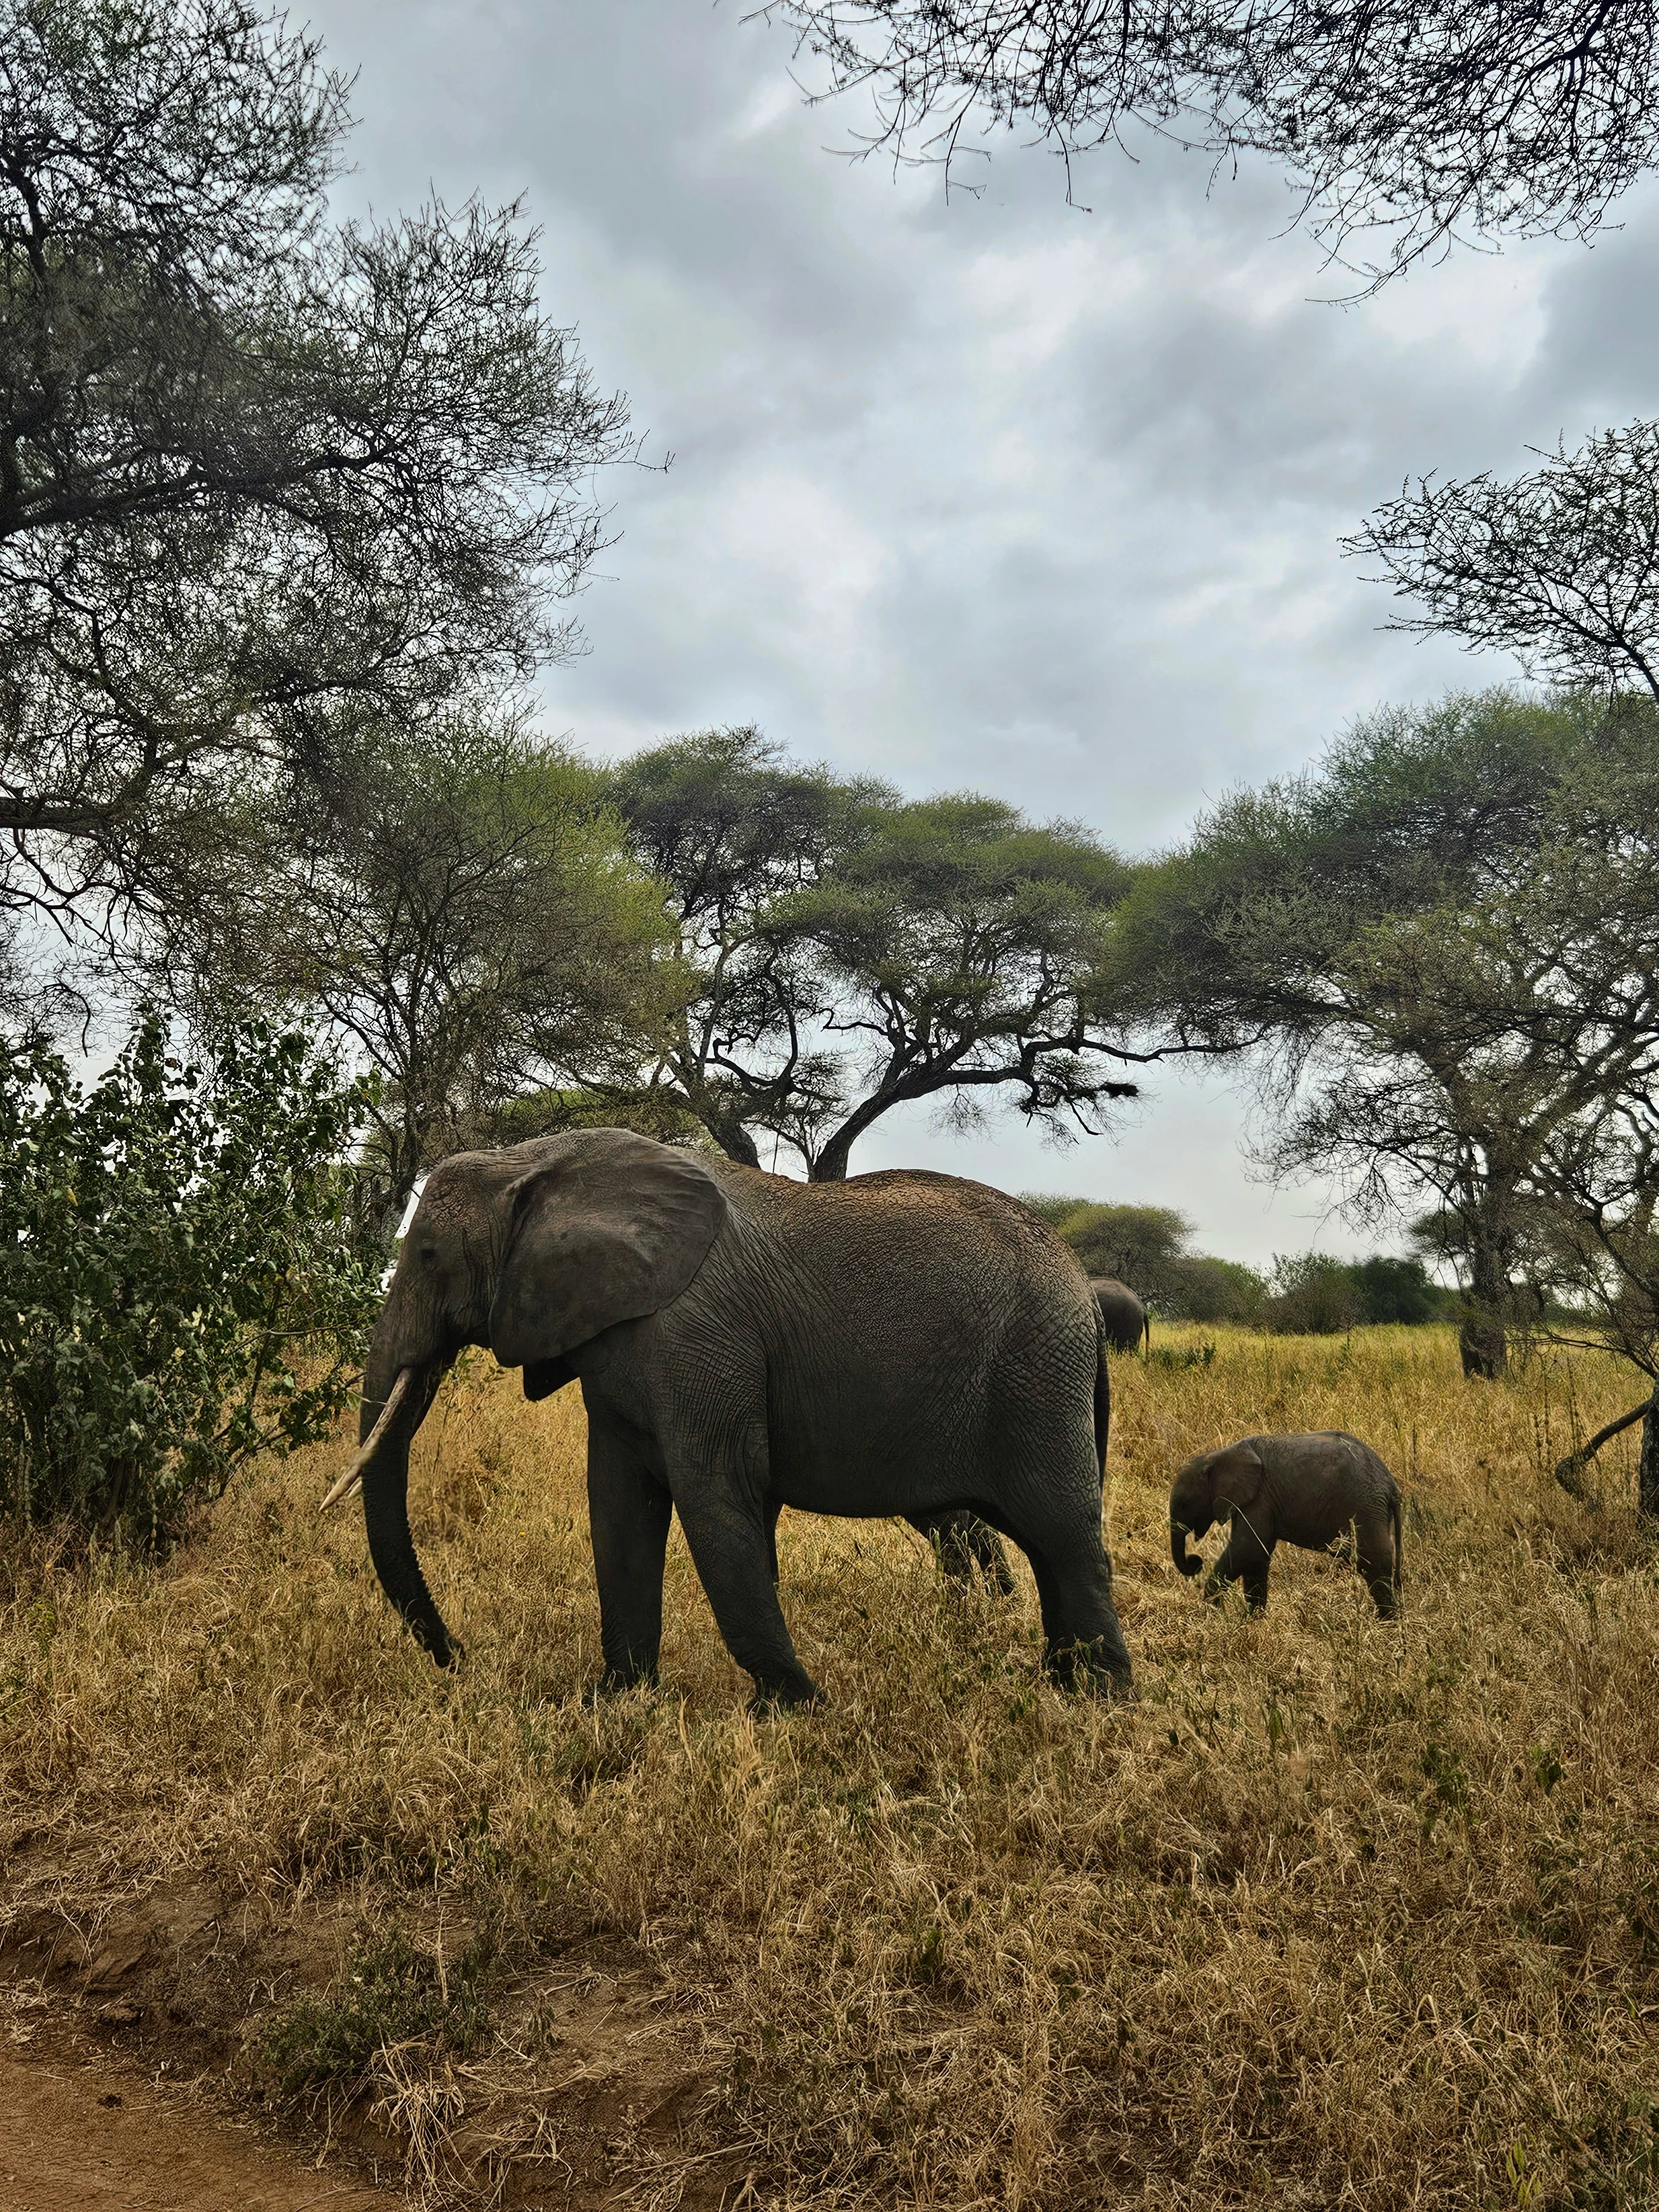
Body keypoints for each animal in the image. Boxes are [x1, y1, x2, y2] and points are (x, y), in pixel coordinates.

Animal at [331, 1129, 1134, 1708]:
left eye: (426, 1254)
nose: (459, 1659)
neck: (536, 1160)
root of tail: (1082, 1290)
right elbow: (618, 1508)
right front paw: (610, 1704)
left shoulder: (701, 1336)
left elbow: (718, 1499)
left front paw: (792, 1708)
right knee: (1033, 1542)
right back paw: (1057, 1686)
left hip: (1037, 1374)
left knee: (1063, 1535)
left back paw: (1099, 1705)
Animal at [1168, 1431, 1402, 1616]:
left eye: (1184, 1504)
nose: (1195, 1561)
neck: (1218, 1455)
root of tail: (1391, 1486)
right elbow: (1257, 1557)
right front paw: (1252, 1620)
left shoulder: (1259, 1498)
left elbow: (1248, 1550)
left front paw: (1213, 1612)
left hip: (1365, 1506)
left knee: (1373, 1560)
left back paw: (1387, 1623)